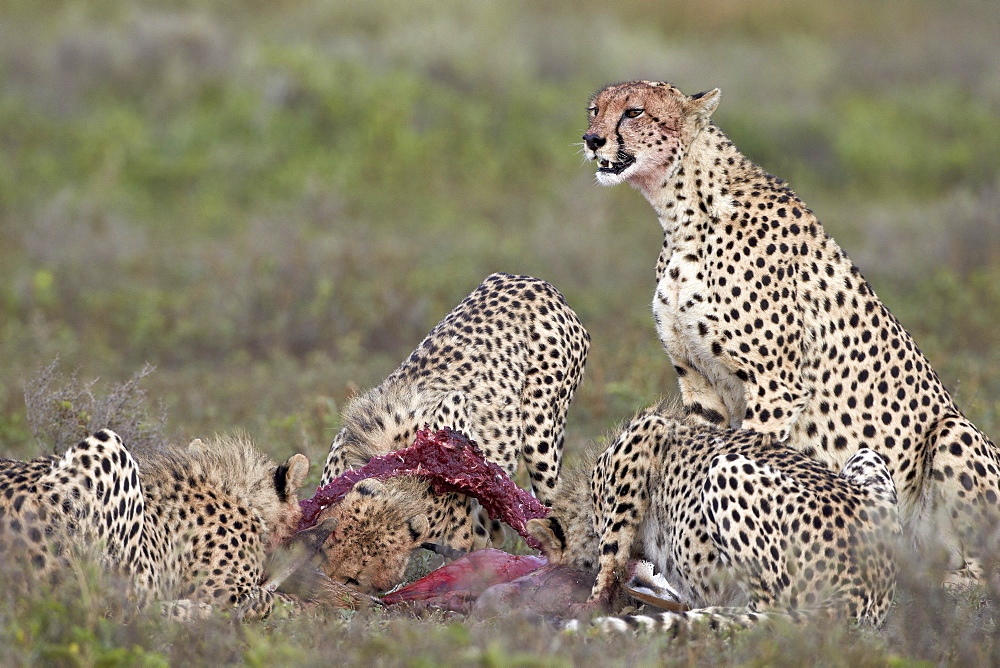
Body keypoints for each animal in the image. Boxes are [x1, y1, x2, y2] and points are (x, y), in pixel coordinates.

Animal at [312, 272, 588, 596]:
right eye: (323, 555)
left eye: (354, 578)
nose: (330, 589)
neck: (398, 478)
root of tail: (528, 280)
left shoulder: (461, 538)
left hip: (541, 438)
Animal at [584, 79, 996, 584]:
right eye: (595, 109)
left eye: (634, 112)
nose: (592, 139)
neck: (683, 212)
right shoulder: (698, 381)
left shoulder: (775, 385)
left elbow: (736, 454)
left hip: (952, 431)